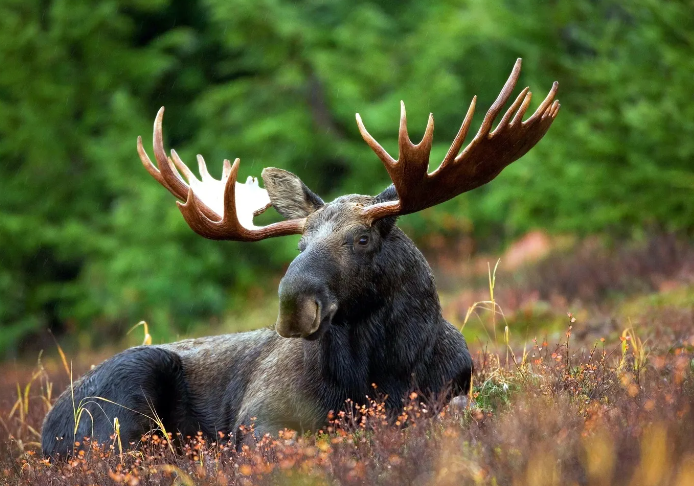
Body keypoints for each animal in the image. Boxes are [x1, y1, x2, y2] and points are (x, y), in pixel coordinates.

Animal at [41, 59, 559, 458]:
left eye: (362, 239)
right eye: (300, 245)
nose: (293, 305)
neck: (383, 371)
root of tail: (45, 430)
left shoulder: (451, 391)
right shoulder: (260, 418)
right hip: (124, 396)